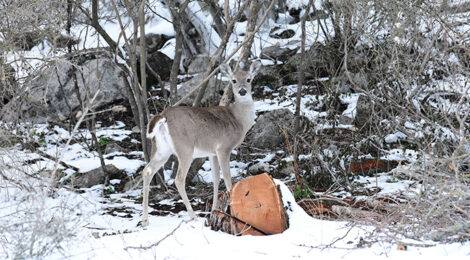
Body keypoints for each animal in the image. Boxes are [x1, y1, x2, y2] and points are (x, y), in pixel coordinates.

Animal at [141, 59, 262, 225]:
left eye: (249, 79)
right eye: (233, 80)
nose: (242, 91)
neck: (239, 120)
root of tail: (162, 115)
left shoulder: (212, 152)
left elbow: (216, 179)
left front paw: (214, 211)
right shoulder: (224, 148)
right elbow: (228, 179)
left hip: (161, 149)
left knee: (147, 170)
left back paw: (145, 220)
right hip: (185, 147)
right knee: (179, 179)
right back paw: (192, 215)